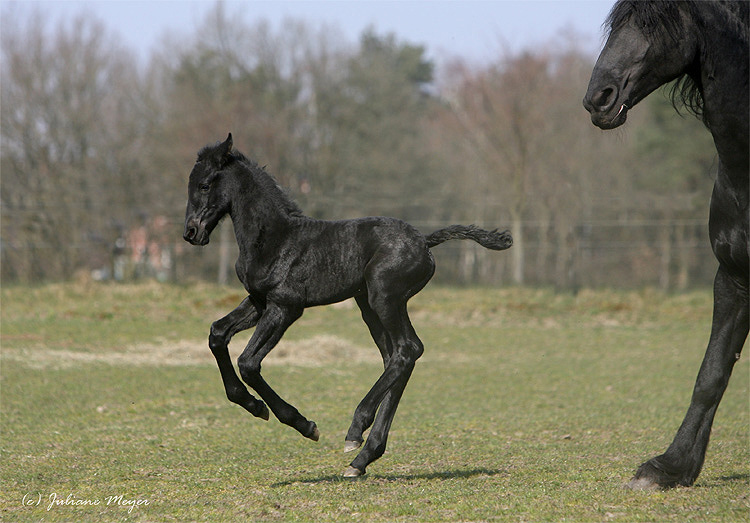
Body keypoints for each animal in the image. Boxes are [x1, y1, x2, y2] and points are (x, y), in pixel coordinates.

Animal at [183, 135, 516, 478]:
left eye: (205, 185)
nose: (191, 232)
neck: (275, 237)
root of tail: (425, 240)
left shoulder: (285, 306)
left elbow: (249, 363)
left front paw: (303, 424)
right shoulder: (258, 302)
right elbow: (217, 334)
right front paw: (254, 406)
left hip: (384, 298)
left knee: (408, 349)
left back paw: (356, 430)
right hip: (369, 306)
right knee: (395, 356)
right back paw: (363, 457)